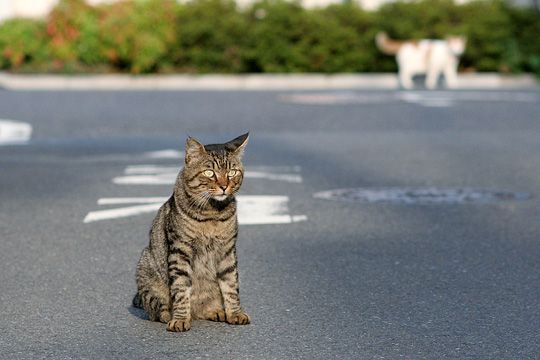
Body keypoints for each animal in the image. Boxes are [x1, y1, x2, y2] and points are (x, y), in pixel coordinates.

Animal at [135, 134, 253, 334]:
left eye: (232, 173)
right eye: (209, 173)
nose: (224, 186)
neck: (213, 213)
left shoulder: (227, 250)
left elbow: (231, 284)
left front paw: (235, 313)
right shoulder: (180, 250)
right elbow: (181, 288)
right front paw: (180, 318)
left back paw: (216, 311)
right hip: (146, 266)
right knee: (157, 310)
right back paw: (172, 315)